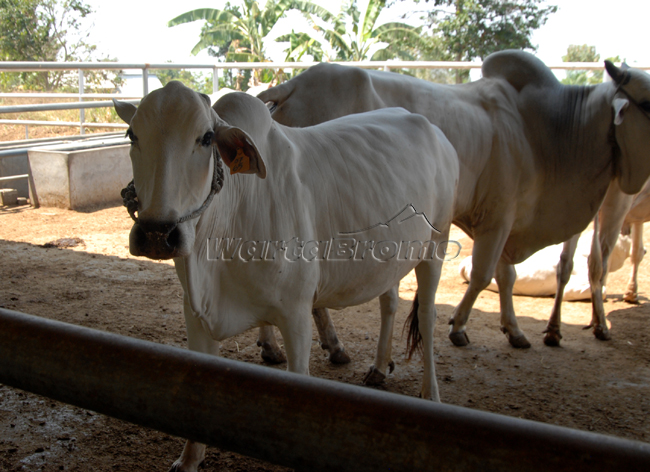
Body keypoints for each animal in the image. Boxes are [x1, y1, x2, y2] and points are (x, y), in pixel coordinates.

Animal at [114, 82, 456, 472]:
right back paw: (380, 367)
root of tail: (432, 129)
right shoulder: (195, 313)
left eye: (206, 138)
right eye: (131, 135)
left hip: (436, 244)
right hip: (390, 255)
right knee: (389, 300)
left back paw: (431, 393)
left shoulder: (296, 316)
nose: (157, 233)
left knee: (427, 316)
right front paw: (188, 460)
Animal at [260, 49, 650, 350]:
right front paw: (459, 325)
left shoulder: (507, 219)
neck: (545, 129)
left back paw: (272, 344)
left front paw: (514, 330)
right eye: (647, 103)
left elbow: (506, 276)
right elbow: (482, 275)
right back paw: (331, 344)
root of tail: (293, 85)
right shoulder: (498, 216)